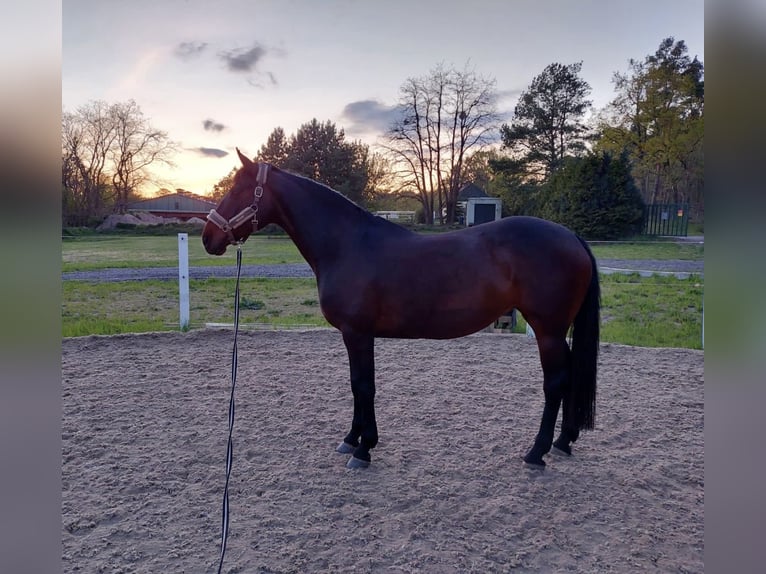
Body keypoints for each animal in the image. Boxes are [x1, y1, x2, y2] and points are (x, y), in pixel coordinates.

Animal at [202, 149, 600, 470]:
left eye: (237, 189)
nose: (208, 237)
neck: (347, 244)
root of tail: (572, 237)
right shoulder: (355, 335)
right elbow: (356, 385)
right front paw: (351, 440)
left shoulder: (358, 333)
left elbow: (364, 386)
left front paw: (364, 449)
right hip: (556, 331)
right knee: (570, 377)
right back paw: (563, 442)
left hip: (547, 329)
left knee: (556, 382)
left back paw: (537, 452)